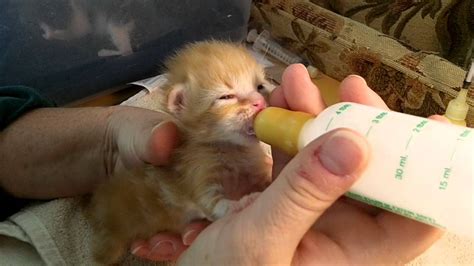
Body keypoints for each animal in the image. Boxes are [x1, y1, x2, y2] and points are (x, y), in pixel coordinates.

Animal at [89, 41, 274, 264]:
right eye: (226, 97)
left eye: (260, 87)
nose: (260, 102)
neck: (232, 150)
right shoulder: (197, 173)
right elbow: (213, 204)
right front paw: (241, 203)